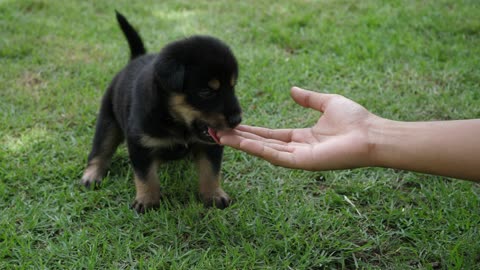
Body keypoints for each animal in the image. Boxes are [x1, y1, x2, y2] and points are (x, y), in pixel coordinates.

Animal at [81, 11, 244, 213]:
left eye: (232, 87)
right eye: (206, 92)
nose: (237, 119)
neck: (175, 121)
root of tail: (134, 59)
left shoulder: (210, 146)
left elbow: (210, 171)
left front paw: (214, 195)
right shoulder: (140, 144)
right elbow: (146, 176)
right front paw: (147, 201)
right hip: (107, 119)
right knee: (101, 148)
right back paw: (92, 175)